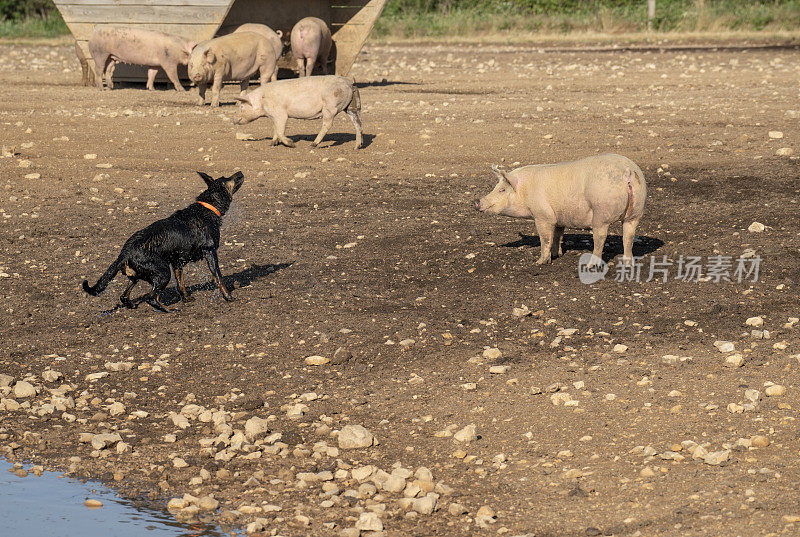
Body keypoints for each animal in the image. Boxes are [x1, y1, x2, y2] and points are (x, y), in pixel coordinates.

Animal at [81, 170, 245, 312]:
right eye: (227, 179)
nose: (240, 172)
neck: (208, 208)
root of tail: (125, 253)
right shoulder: (210, 251)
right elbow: (218, 277)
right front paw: (228, 296)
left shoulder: (177, 261)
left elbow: (181, 283)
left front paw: (186, 298)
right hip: (163, 272)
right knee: (151, 297)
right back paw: (168, 309)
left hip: (137, 275)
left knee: (124, 296)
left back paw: (132, 305)